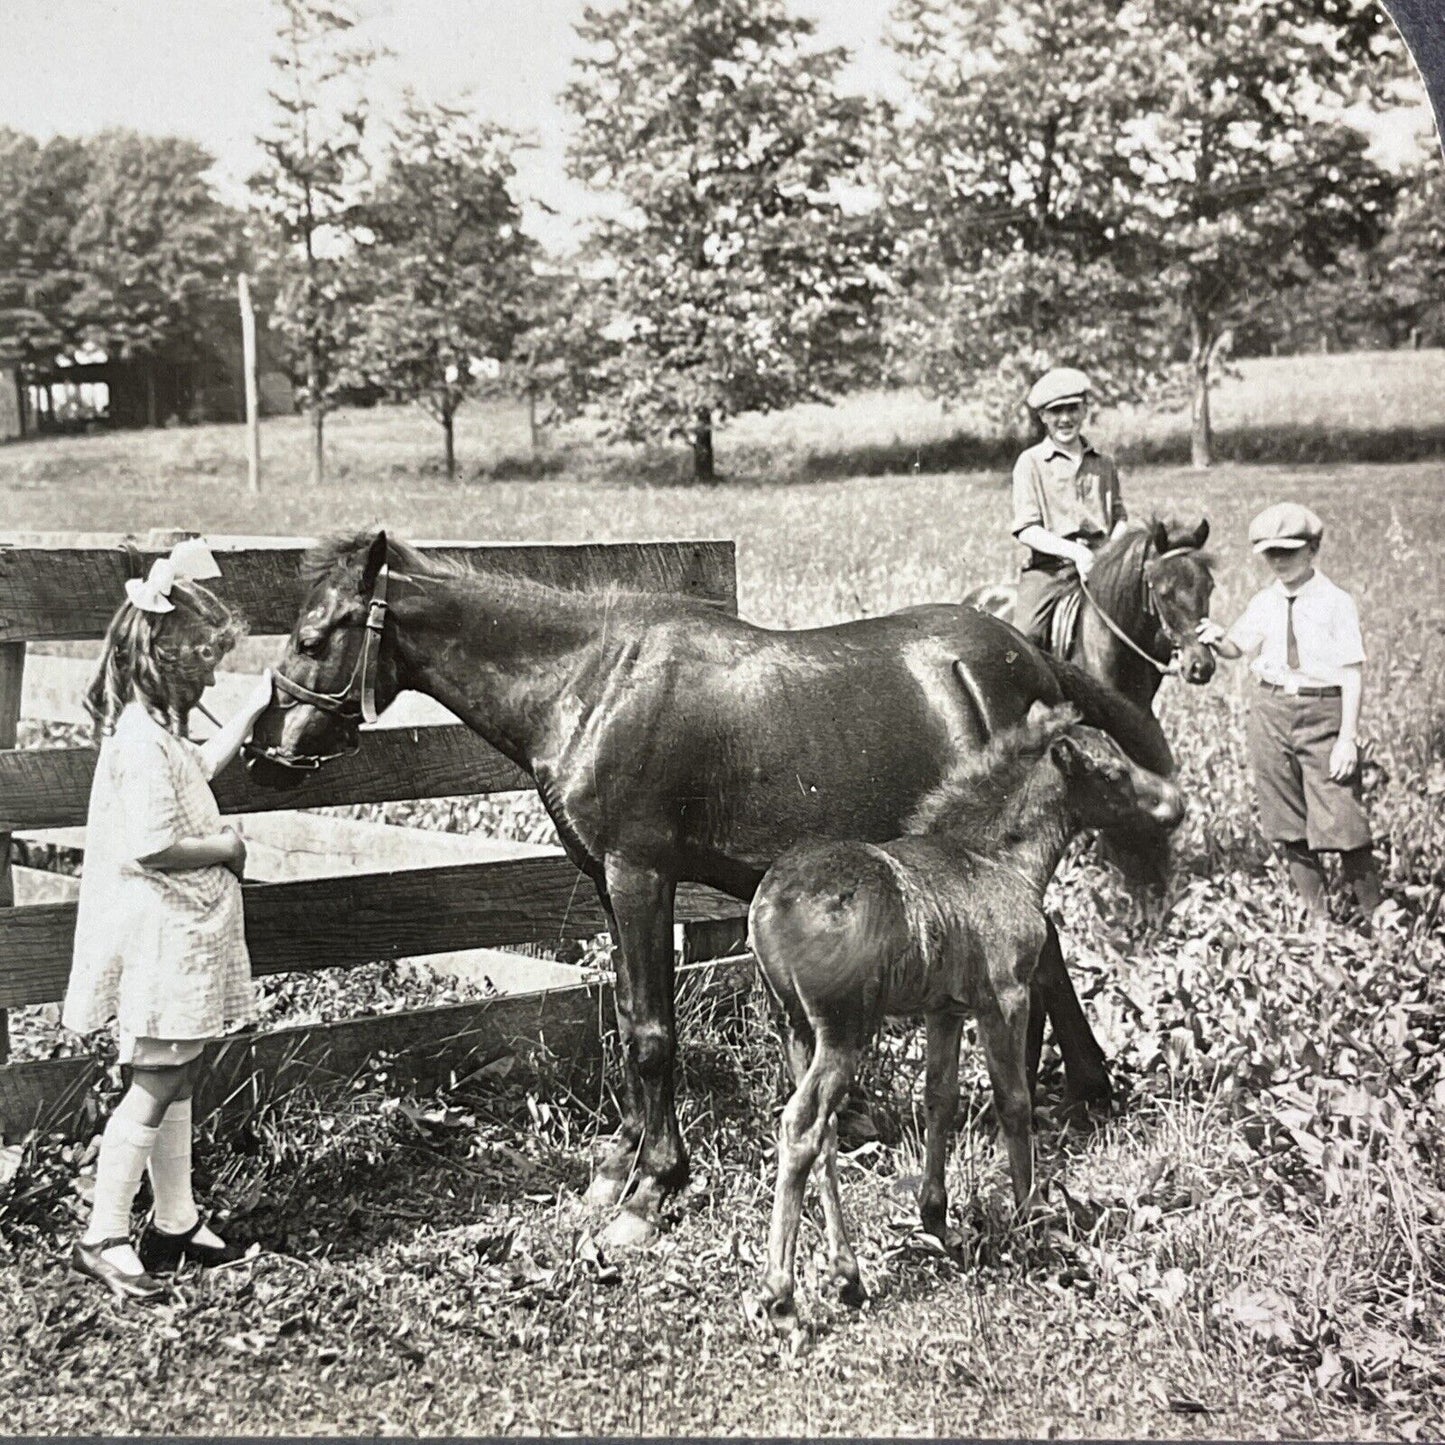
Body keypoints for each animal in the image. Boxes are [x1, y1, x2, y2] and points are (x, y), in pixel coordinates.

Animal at [248, 537, 1173, 1248]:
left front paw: (652, 1188)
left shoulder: (639, 873)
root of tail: (1024, 651)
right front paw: (618, 1160)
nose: (268, 750)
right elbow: (628, 1012)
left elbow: (653, 1034)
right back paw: (1080, 1089)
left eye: (316, 633)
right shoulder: (606, 880)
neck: (591, 681)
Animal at [745, 702, 1184, 1329]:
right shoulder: (1006, 996)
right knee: (802, 1125)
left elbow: (940, 1097)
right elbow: (1015, 1100)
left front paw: (936, 1218)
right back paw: (780, 1293)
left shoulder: (945, 1009)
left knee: (822, 1133)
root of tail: (772, 905)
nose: (1174, 803)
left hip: (797, 1029)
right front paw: (1032, 1215)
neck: (999, 859)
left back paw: (848, 1275)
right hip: (844, 1030)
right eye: (1114, 773)